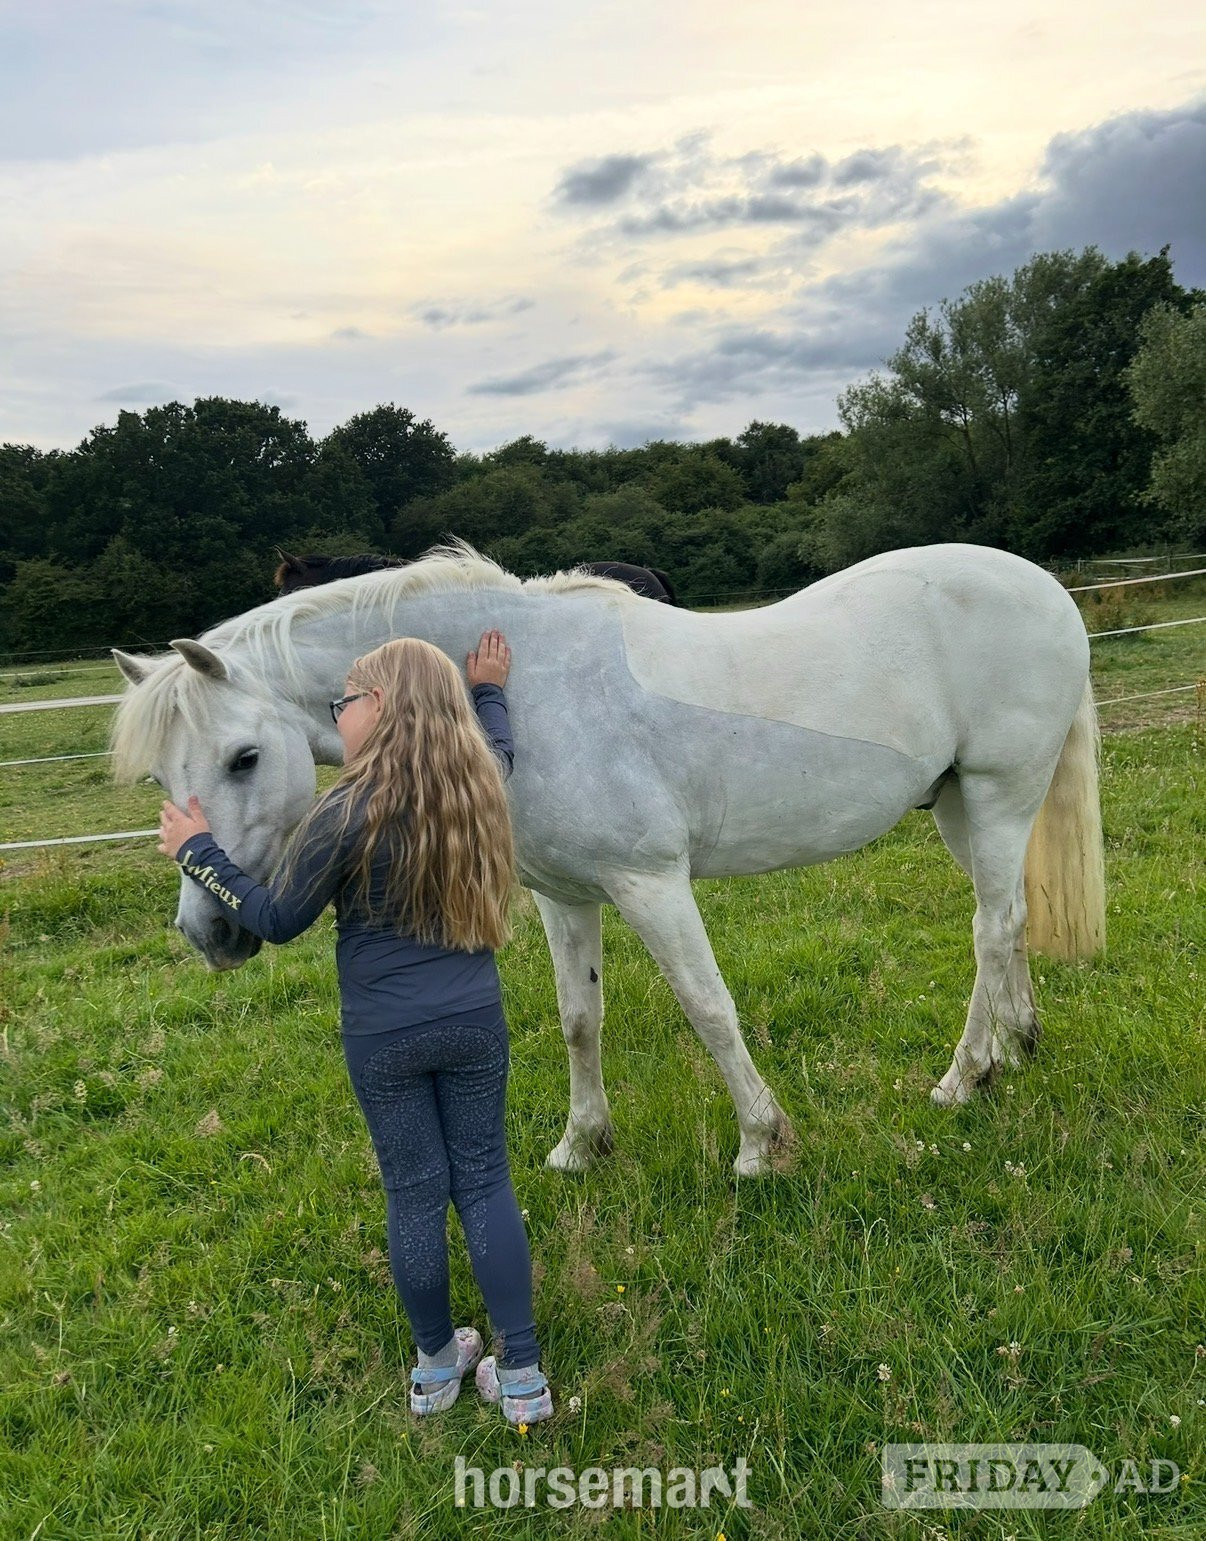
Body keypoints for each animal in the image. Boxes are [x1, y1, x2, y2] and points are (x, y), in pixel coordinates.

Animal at [110, 540, 1105, 1177]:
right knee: (1009, 919)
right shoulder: (565, 894)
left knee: (990, 928)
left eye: (243, 757)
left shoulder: (650, 882)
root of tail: (1046, 590)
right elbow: (578, 1019)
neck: (536, 691)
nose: (210, 931)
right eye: (162, 773)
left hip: (1002, 791)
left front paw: (760, 1142)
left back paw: (962, 1078)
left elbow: (708, 1007)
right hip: (959, 804)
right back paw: (1015, 1047)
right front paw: (581, 1146)